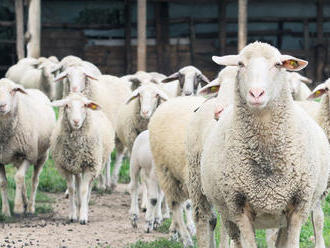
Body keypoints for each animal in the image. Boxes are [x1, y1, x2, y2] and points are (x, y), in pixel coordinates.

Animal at [0, 78, 55, 216]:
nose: (1, 106)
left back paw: (30, 207)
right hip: (17, 158)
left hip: (42, 156)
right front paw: (5, 211)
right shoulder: (0, 159)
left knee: (34, 180)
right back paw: (24, 201)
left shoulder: (29, 155)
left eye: (13, 91)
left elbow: (19, 178)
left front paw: (18, 208)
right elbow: (3, 183)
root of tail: (37, 90)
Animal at [50, 93, 114, 225]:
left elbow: (84, 190)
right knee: (78, 184)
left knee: (88, 188)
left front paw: (83, 217)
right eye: (67, 105)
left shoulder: (89, 166)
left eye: (84, 105)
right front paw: (72, 215)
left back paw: (84, 205)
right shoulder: (66, 167)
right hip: (77, 167)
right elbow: (72, 189)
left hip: (95, 166)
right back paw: (78, 205)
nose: (76, 121)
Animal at [200, 41, 328, 247]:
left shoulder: (299, 206)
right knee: (235, 239)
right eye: (241, 64)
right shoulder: (239, 207)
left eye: (278, 64)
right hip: (227, 213)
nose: (256, 93)